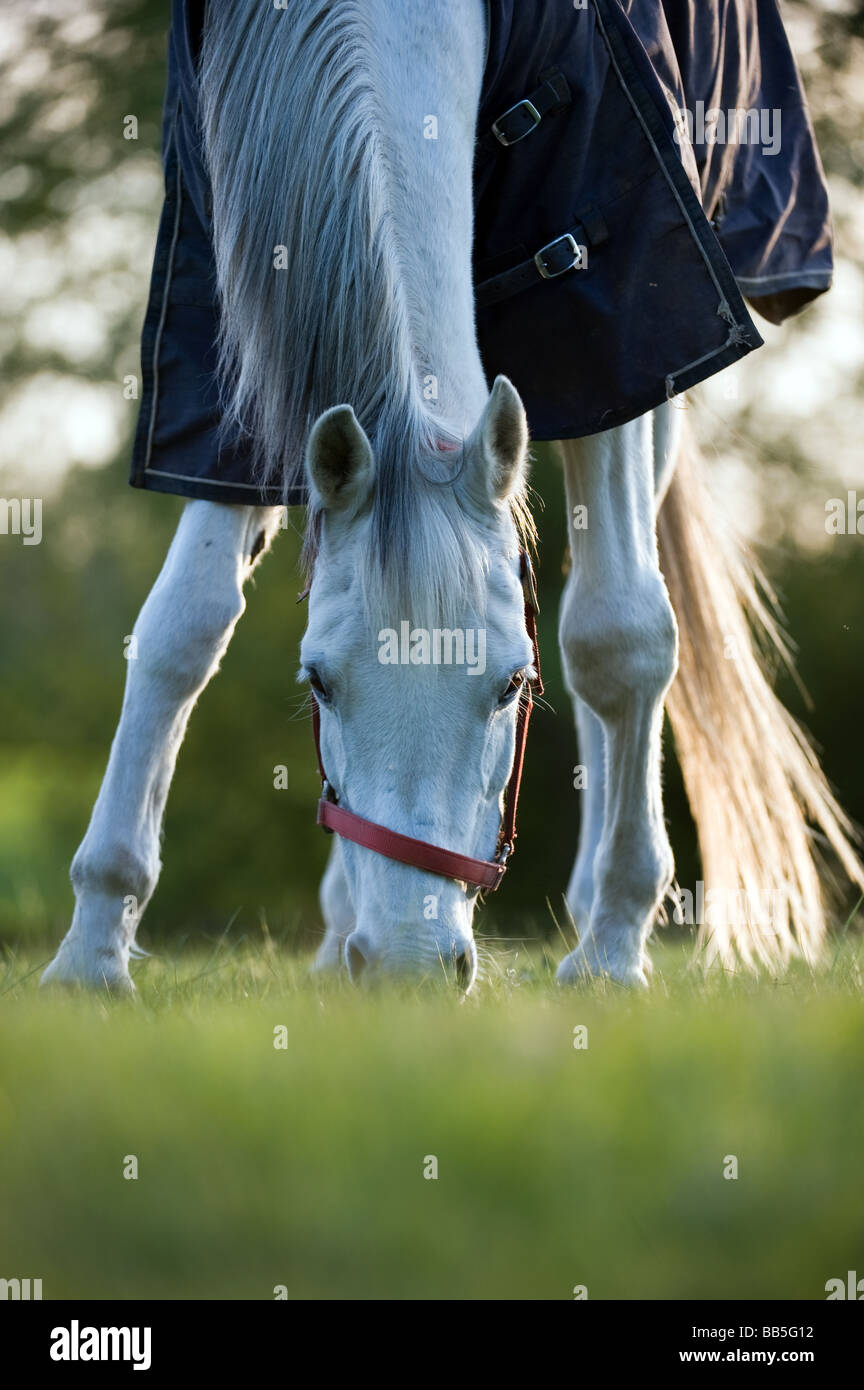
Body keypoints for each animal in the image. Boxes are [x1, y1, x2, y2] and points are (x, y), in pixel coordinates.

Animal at [44, 5, 861, 995]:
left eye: (511, 684)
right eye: (317, 683)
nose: (406, 964)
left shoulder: (615, 328)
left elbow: (619, 638)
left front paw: (615, 949)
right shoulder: (221, 337)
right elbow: (179, 632)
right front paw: (91, 953)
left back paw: (595, 915)